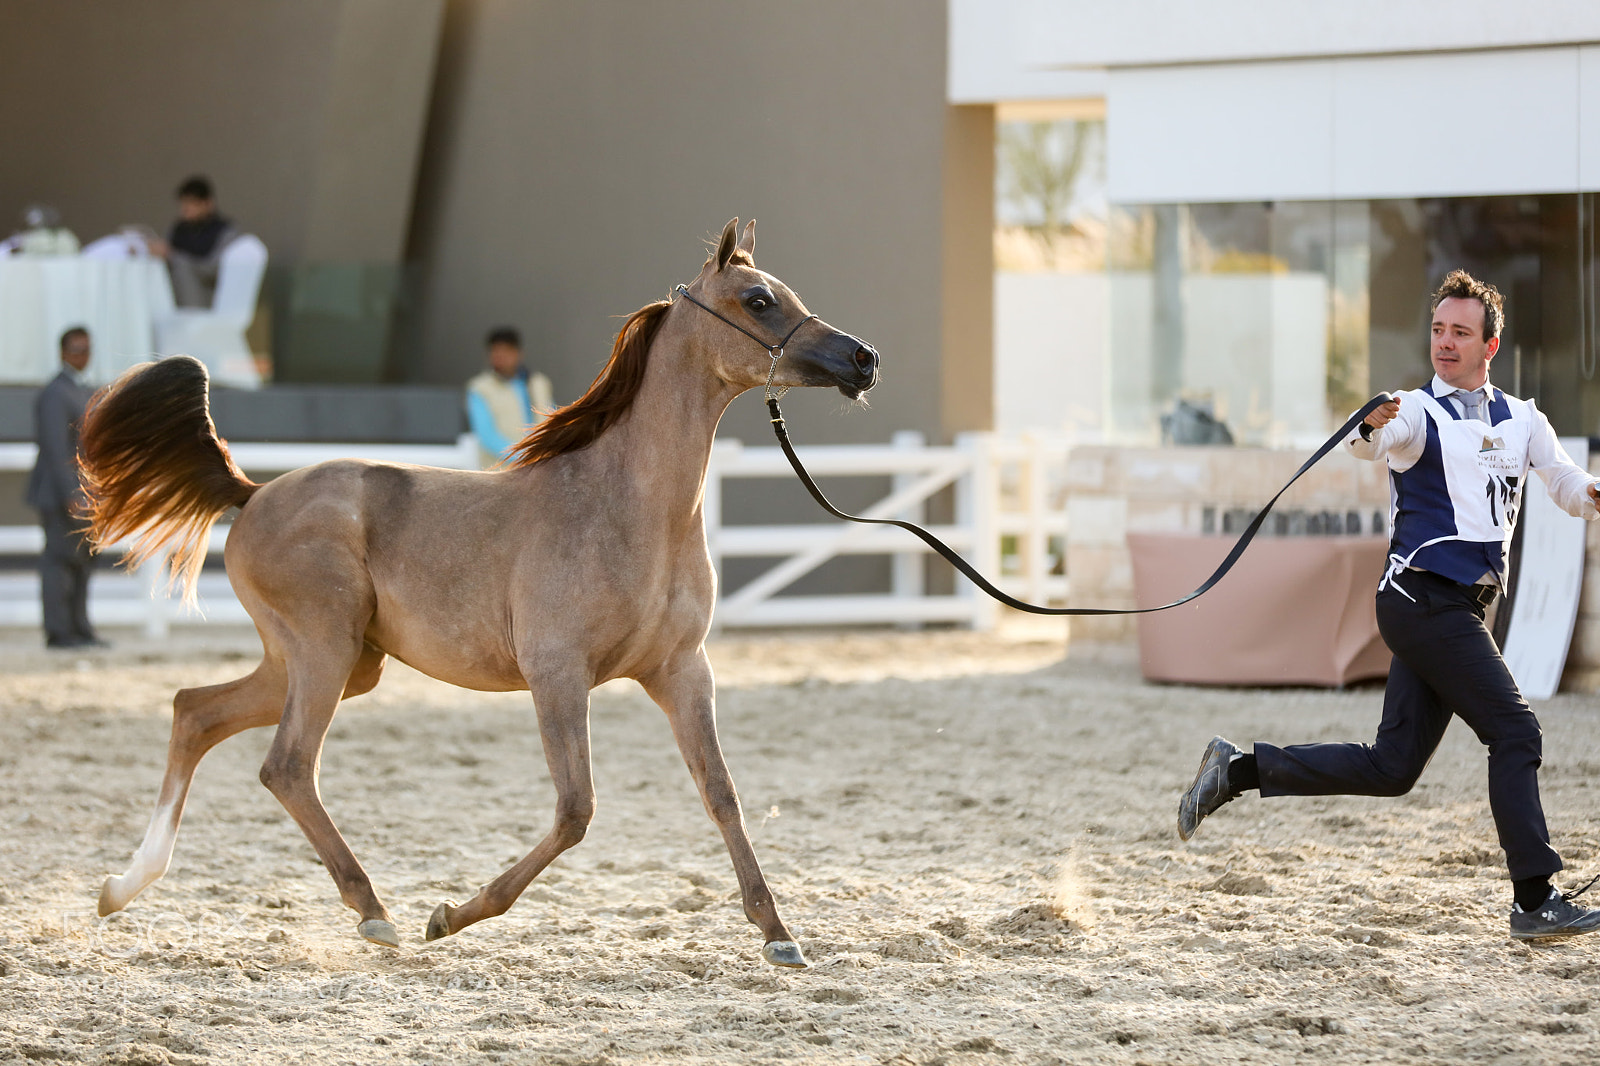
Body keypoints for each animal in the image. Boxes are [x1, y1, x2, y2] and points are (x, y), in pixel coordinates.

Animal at [79, 219, 879, 968]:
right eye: (759, 300)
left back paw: (123, 886)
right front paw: (450, 916)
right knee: (286, 765)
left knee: (195, 712)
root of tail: (251, 493)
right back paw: (375, 913)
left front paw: (779, 935)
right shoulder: (557, 675)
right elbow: (575, 810)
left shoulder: (682, 670)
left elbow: (721, 793)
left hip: (334, 664)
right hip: (323, 653)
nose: (862, 359)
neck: (628, 507)